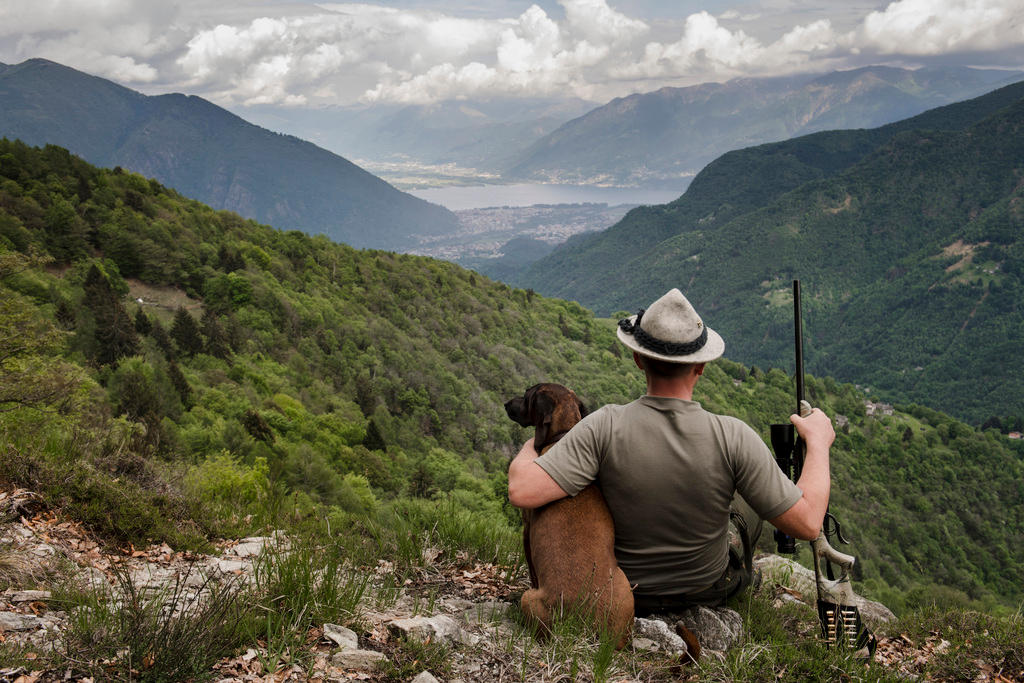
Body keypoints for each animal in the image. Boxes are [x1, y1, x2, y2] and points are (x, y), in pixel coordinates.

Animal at [503, 385, 630, 647]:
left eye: (527, 394)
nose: (506, 404)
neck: (564, 435)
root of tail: (584, 626)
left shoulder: (526, 530)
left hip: (530, 599)